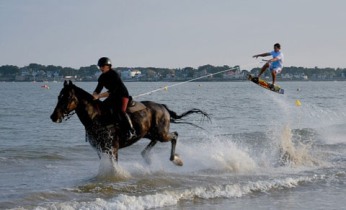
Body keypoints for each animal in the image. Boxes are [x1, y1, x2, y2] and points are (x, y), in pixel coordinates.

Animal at [50, 80, 209, 166]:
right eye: (58, 96)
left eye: (67, 97)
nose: (53, 117)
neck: (96, 117)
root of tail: (163, 107)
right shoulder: (100, 150)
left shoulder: (112, 149)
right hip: (149, 133)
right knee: (155, 142)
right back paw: (147, 157)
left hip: (161, 133)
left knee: (175, 135)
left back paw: (175, 159)